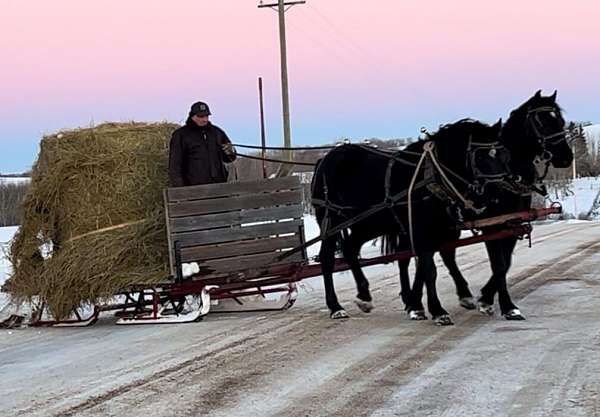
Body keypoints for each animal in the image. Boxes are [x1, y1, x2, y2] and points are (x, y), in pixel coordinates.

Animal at [310, 118, 510, 324]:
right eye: (480, 157)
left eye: (504, 156)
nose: (498, 196)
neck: (432, 176)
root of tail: (324, 159)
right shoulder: (421, 229)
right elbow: (430, 269)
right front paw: (438, 310)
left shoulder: (443, 229)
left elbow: (438, 262)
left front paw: (441, 300)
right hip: (331, 220)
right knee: (327, 258)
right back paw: (335, 306)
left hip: (370, 223)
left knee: (350, 248)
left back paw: (364, 296)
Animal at [398, 90, 572, 318]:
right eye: (541, 122)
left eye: (560, 120)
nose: (566, 158)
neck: (510, 174)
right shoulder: (492, 225)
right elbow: (498, 263)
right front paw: (504, 305)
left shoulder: (512, 223)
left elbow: (505, 263)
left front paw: (488, 297)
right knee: (410, 257)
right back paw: (414, 302)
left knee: (437, 255)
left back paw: (434, 300)